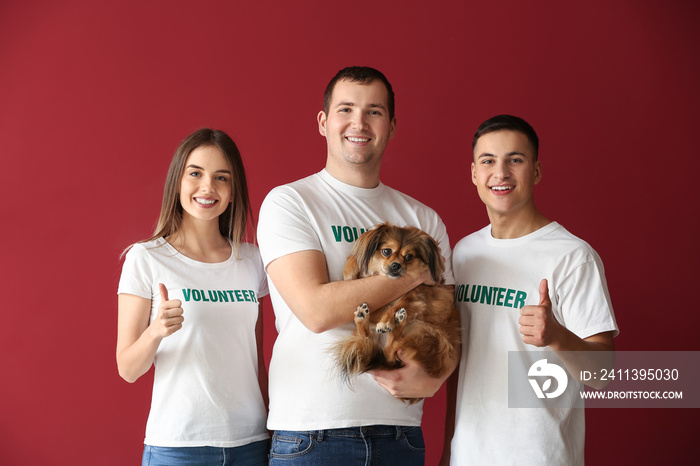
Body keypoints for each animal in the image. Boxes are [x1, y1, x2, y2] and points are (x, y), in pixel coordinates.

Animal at [332, 224, 462, 402]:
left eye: (409, 257)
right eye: (386, 251)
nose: (396, 265)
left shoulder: (420, 290)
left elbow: (401, 303)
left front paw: (387, 320)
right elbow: (355, 260)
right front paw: (349, 270)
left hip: (431, 335)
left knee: (390, 353)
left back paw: (397, 322)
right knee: (370, 341)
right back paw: (362, 318)